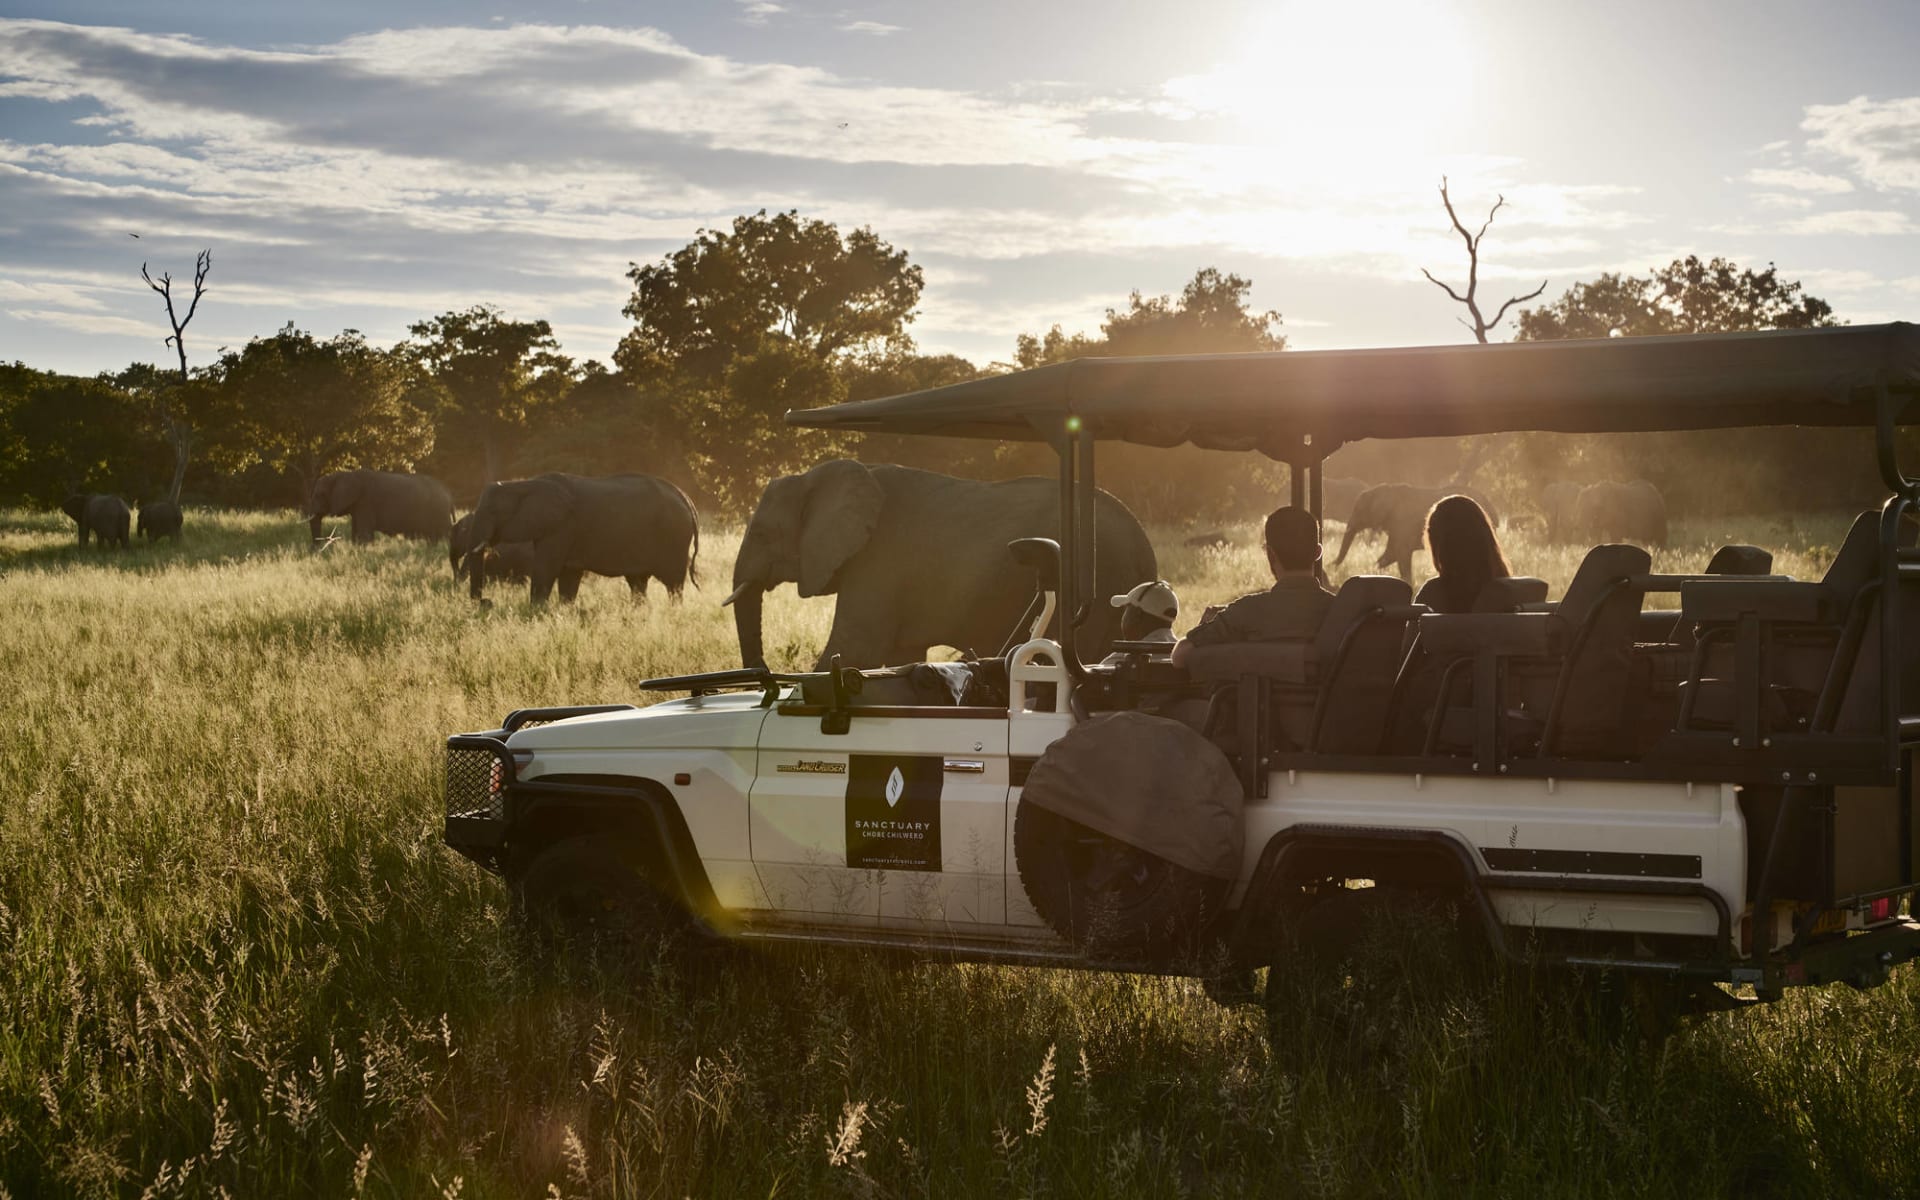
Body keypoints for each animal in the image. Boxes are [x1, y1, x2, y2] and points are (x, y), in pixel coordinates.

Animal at [309, 468, 455, 549]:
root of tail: (448, 493)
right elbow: (356, 532)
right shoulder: (358, 506)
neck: (343, 474)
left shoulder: (365, 502)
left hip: (439, 512)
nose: (317, 550)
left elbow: (364, 534)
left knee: (442, 535)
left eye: (319, 495)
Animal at [729, 458, 1152, 668]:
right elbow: (898, 658)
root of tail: (1141, 541)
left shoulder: (877, 563)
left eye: (762, 534)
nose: (762, 675)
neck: (812, 477)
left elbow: (853, 651)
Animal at [1336, 483, 1497, 583]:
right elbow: (1390, 555)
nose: (1333, 567)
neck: (1385, 489)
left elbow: (1401, 554)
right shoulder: (1396, 527)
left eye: (1358, 510)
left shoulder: (1402, 523)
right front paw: (1373, 572)